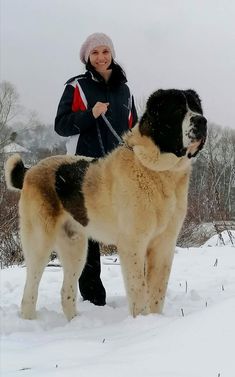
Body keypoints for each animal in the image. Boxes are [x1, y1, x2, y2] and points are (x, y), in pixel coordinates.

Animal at [5, 89, 206, 320]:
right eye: (177, 110)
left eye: (197, 108)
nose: (202, 120)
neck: (156, 169)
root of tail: (30, 170)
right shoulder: (133, 244)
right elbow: (139, 290)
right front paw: (143, 321)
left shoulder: (164, 244)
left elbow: (157, 292)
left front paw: (156, 320)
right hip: (39, 242)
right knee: (30, 289)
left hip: (75, 247)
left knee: (66, 290)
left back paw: (75, 323)